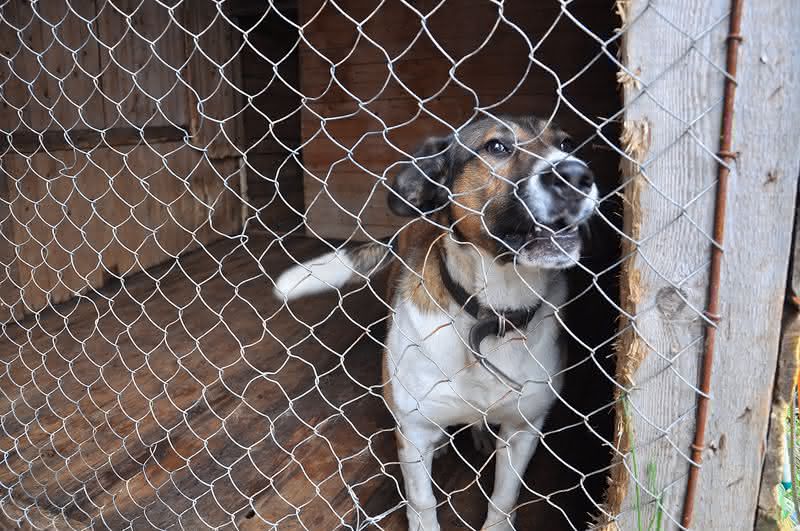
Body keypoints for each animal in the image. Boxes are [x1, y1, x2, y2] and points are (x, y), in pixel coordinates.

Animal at [272, 114, 596, 528]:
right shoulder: (413, 431)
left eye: (568, 144)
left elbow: (504, 497)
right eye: (497, 147)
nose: (577, 174)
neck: (491, 314)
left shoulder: (523, 429)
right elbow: (422, 499)